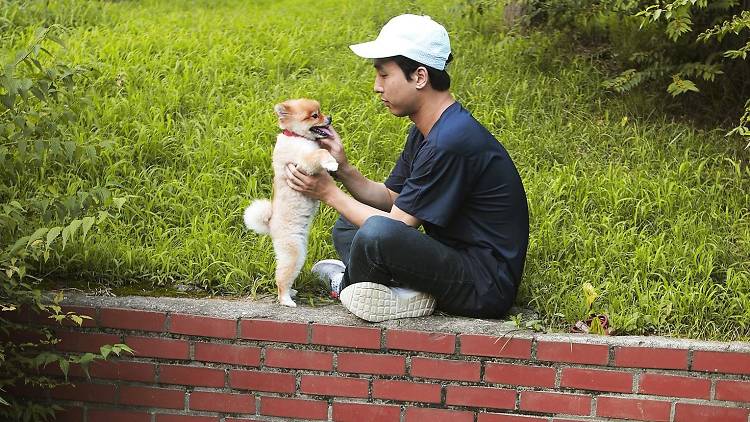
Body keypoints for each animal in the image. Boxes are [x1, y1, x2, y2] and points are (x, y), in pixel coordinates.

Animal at [244, 100, 338, 308]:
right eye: (314, 116)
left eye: (320, 112)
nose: (329, 118)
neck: (298, 137)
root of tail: (270, 224)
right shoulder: (303, 162)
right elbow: (321, 151)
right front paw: (331, 163)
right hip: (292, 251)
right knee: (281, 279)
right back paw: (286, 299)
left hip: (300, 251)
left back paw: (292, 292)